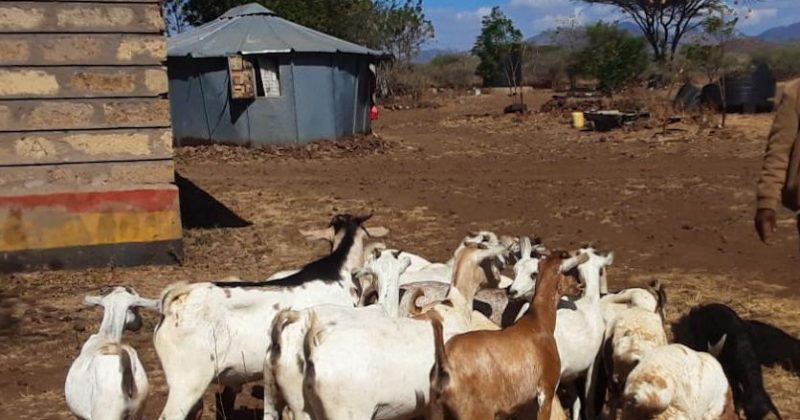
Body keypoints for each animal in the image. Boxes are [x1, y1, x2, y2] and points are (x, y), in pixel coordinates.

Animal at [428, 251, 587, 420]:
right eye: (569, 272)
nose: (580, 286)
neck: (537, 322)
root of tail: (445, 365)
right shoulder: (547, 390)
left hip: (436, 411)